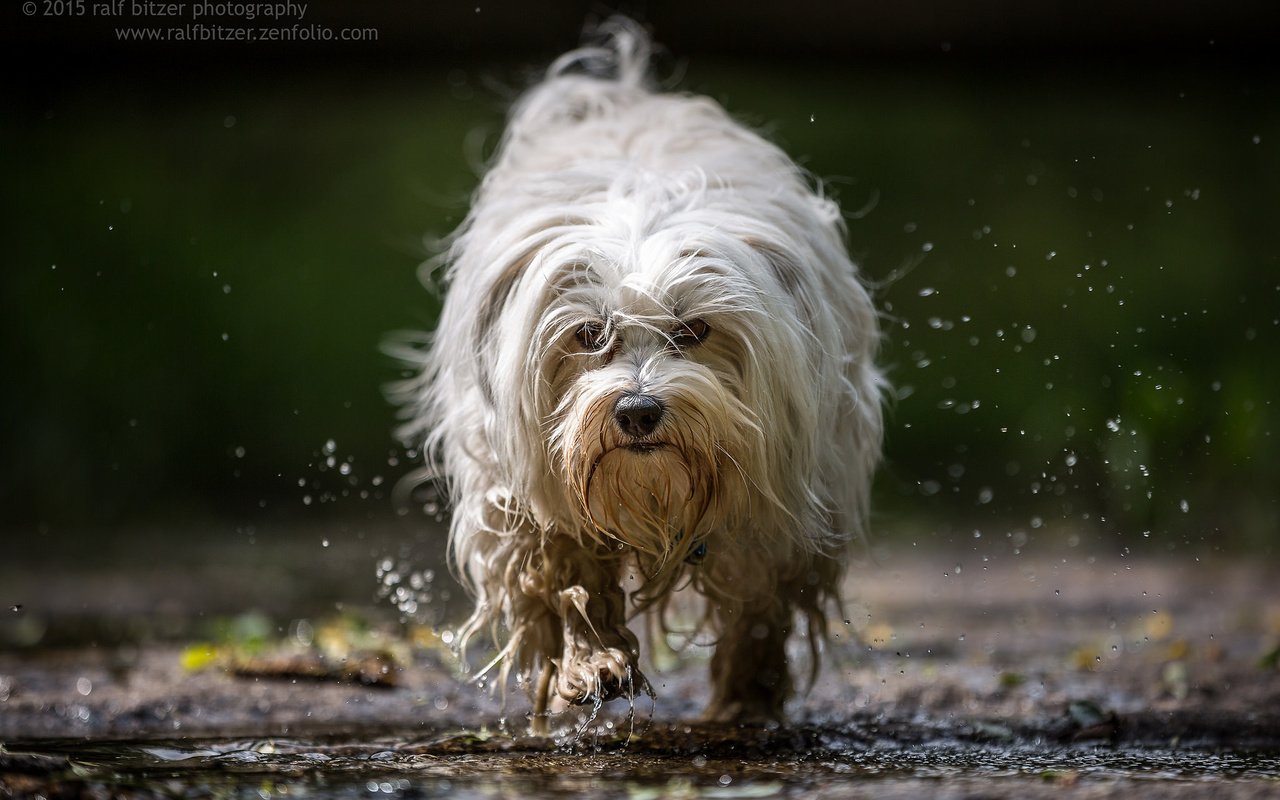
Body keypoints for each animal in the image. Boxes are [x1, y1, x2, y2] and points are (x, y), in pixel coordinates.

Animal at [394, 18, 885, 732]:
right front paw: (592, 662)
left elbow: (759, 604)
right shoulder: (522, 491)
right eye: (588, 335)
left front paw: (746, 696)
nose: (637, 411)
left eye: (695, 330)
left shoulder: (786, 502)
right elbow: (564, 575)